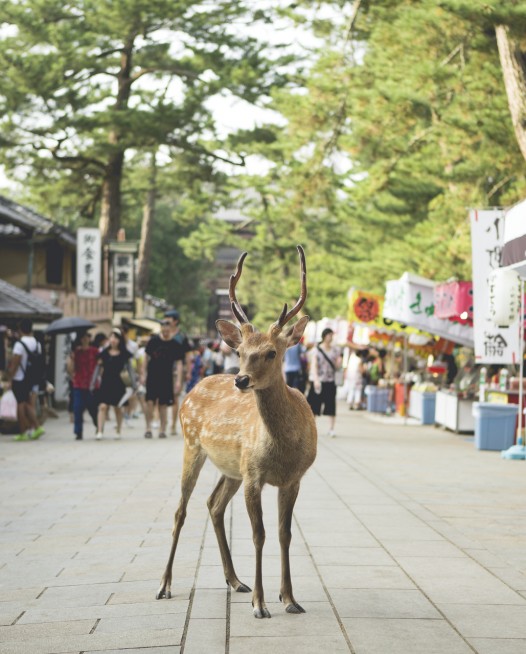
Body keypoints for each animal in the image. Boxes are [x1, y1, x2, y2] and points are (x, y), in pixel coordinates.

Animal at [155, 246, 320, 620]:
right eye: (241, 352)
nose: (241, 379)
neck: (283, 447)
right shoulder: (254, 475)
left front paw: (290, 598)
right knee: (180, 510)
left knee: (213, 504)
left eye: (271, 352)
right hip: (192, 444)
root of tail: (192, 389)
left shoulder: (293, 478)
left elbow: (284, 534)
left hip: (231, 469)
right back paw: (164, 585)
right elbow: (258, 534)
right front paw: (260, 605)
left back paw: (235, 580)